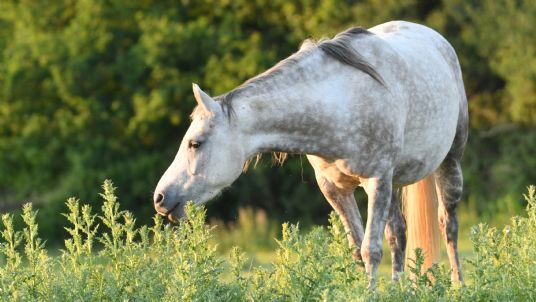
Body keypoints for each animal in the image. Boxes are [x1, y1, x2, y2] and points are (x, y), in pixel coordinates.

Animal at [153, 20, 466, 286]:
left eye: (195, 143)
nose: (160, 198)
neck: (339, 102)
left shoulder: (376, 180)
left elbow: (371, 251)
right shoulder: (334, 188)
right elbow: (357, 250)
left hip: (448, 163)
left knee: (447, 225)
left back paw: (457, 285)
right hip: (394, 181)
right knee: (398, 234)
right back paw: (402, 289)